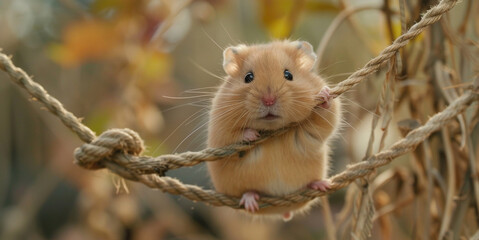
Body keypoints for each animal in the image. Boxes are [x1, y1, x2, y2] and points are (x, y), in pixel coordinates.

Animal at [206, 39, 342, 221]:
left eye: (288, 75)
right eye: (248, 77)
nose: (269, 100)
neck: (273, 129)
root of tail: (281, 210)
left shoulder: (321, 122)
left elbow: (326, 117)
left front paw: (325, 95)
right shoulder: (219, 129)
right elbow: (232, 136)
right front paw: (253, 134)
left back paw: (322, 184)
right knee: (247, 193)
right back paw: (250, 200)